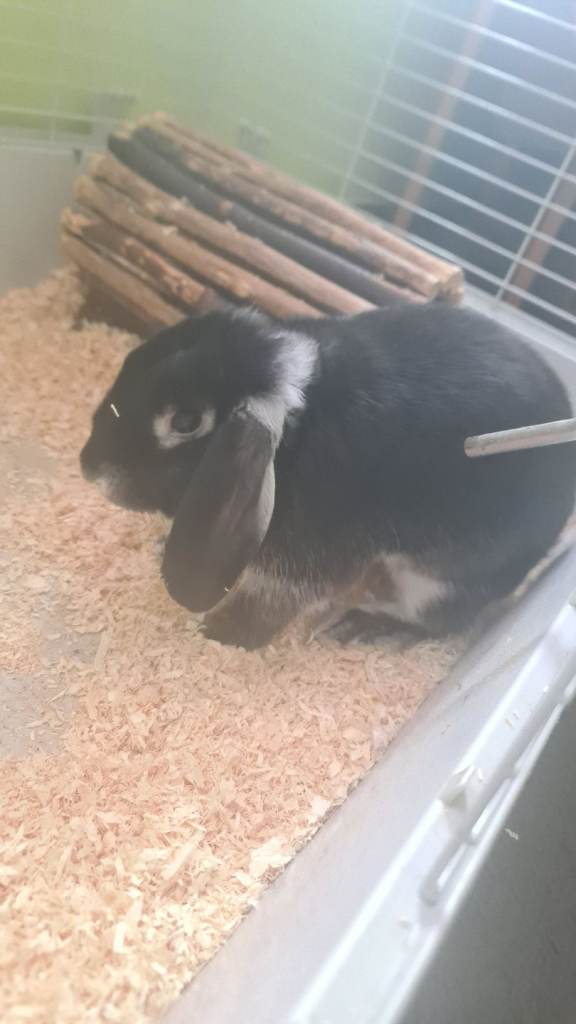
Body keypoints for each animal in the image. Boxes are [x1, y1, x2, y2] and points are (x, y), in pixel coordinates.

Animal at [80, 303, 576, 649]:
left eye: (185, 421)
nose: (88, 467)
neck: (298, 426)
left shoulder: (300, 565)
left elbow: (265, 606)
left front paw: (218, 637)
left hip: (435, 582)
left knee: (441, 621)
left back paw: (364, 625)